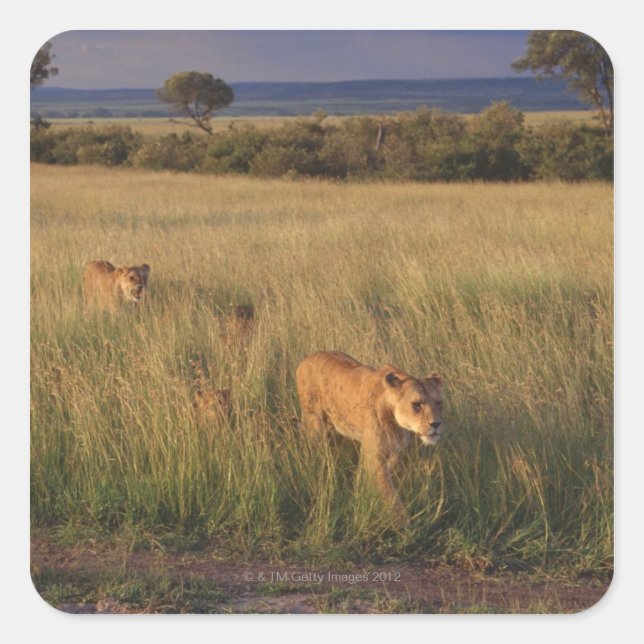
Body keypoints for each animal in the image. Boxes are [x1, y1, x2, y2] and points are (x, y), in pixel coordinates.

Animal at [296, 351, 444, 518]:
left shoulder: (393, 453)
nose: (436, 424)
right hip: (314, 421)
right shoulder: (374, 459)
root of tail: (306, 358)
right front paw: (405, 523)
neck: (398, 425)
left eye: (439, 403)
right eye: (416, 405)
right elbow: (391, 497)